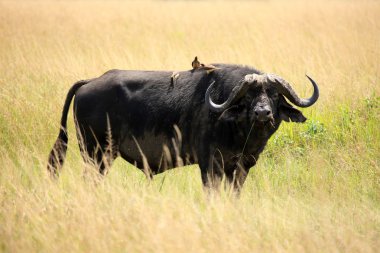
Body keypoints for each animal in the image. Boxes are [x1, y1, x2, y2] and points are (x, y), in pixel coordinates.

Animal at [49, 64, 320, 191]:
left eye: (274, 95)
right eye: (250, 96)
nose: (262, 113)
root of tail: (91, 81)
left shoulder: (242, 166)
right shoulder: (210, 164)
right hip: (96, 153)